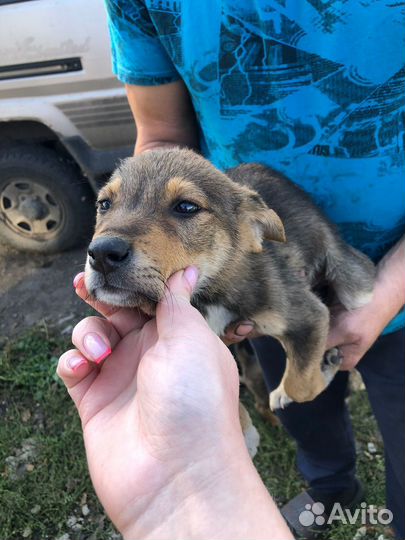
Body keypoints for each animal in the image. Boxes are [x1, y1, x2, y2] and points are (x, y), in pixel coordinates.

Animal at [85, 149, 376, 418]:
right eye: (104, 204)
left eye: (186, 207)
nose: (101, 254)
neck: (210, 289)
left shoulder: (309, 315)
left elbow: (302, 386)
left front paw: (324, 369)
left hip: (353, 283)